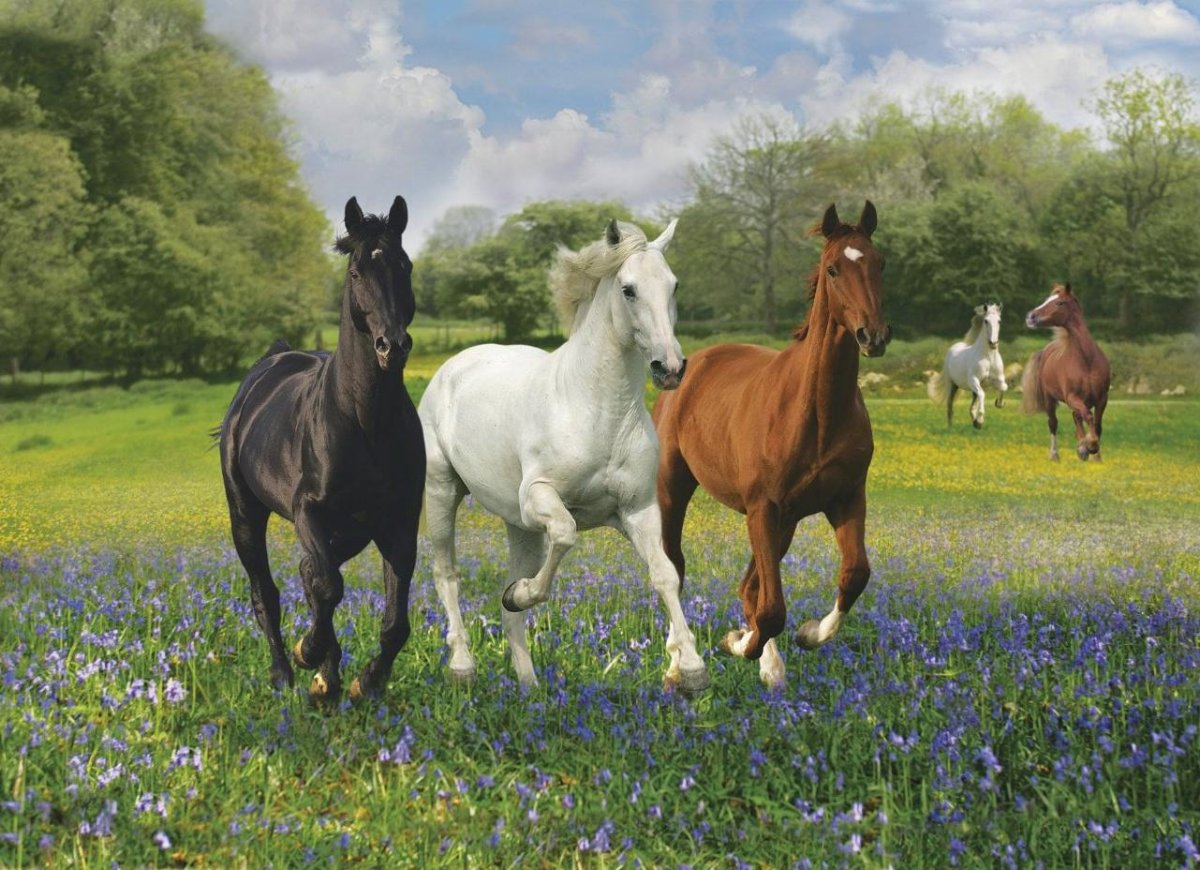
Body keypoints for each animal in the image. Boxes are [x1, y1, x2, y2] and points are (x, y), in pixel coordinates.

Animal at [217, 196, 424, 703]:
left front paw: (365, 682)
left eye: (406, 266)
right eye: (356, 272)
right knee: (268, 592)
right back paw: (284, 674)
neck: (366, 423)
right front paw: (308, 654)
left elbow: (395, 622)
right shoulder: (308, 509)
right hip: (245, 512)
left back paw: (325, 681)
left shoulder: (398, 520)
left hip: (352, 530)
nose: (392, 346)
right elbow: (328, 586)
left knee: (309, 574)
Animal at [418, 218, 709, 694]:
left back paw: (529, 687)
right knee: (447, 575)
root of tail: (453, 366)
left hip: (519, 529)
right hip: (443, 491)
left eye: (674, 285)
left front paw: (692, 669)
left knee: (508, 611)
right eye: (628, 289)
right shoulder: (539, 497)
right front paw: (522, 594)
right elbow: (567, 534)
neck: (597, 411)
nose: (669, 368)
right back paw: (463, 666)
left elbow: (665, 574)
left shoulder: (637, 510)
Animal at [652, 202, 888, 689]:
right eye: (833, 268)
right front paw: (740, 644)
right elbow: (772, 608)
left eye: (880, 263)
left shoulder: (844, 499)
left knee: (751, 586)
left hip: (787, 520)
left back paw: (766, 665)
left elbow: (853, 574)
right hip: (674, 489)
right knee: (675, 569)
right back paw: (678, 668)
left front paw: (805, 635)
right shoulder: (763, 507)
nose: (873, 336)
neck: (816, 411)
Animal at [1021, 282, 1111, 461]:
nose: (1030, 317)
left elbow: (1097, 424)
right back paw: (1055, 455)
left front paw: (1095, 454)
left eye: (1059, 302)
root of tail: (1045, 350)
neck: (1087, 361)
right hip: (1049, 399)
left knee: (1077, 418)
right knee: (1053, 423)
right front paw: (1089, 446)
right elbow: (1088, 417)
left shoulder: (1102, 398)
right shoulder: (1072, 397)